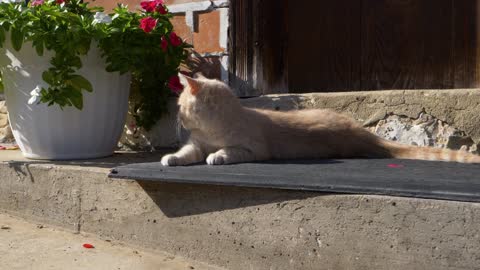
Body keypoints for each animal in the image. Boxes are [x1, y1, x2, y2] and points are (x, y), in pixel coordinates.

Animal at [162, 74, 480, 167]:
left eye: (180, 106)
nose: (179, 118)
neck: (211, 132)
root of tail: (357, 130)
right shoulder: (195, 145)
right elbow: (186, 152)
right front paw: (171, 158)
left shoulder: (253, 149)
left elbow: (228, 151)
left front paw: (217, 156)